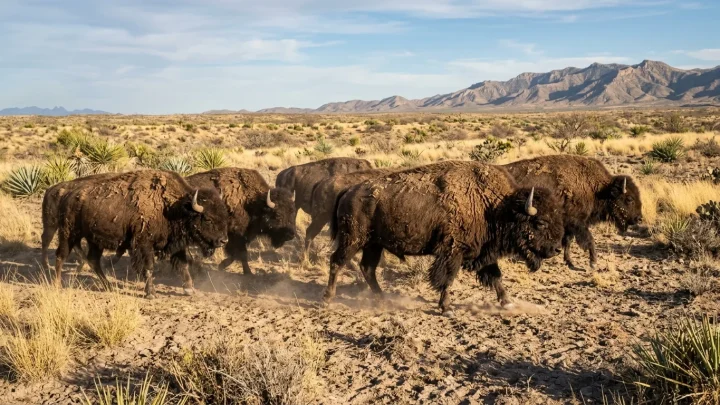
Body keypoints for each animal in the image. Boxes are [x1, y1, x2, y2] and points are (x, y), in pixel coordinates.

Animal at [54, 170, 229, 298]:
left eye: (224, 214)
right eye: (208, 219)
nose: (223, 241)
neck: (172, 207)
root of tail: (68, 195)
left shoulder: (176, 244)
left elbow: (183, 264)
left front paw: (189, 289)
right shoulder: (144, 245)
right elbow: (148, 267)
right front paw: (151, 293)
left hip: (95, 240)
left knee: (93, 260)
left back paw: (109, 286)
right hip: (69, 234)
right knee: (61, 256)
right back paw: (58, 286)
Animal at [324, 161, 565, 315]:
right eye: (540, 223)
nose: (556, 249)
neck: (496, 206)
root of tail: (348, 191)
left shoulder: (484, 253)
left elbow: (496, 277)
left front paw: (508, 303)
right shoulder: (452, 252)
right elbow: (447, 279)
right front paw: (447, 309)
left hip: (373, 244)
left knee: (368, 268)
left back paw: (382, 299)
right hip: (353, 240)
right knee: (336, 262)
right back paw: (329, 299)